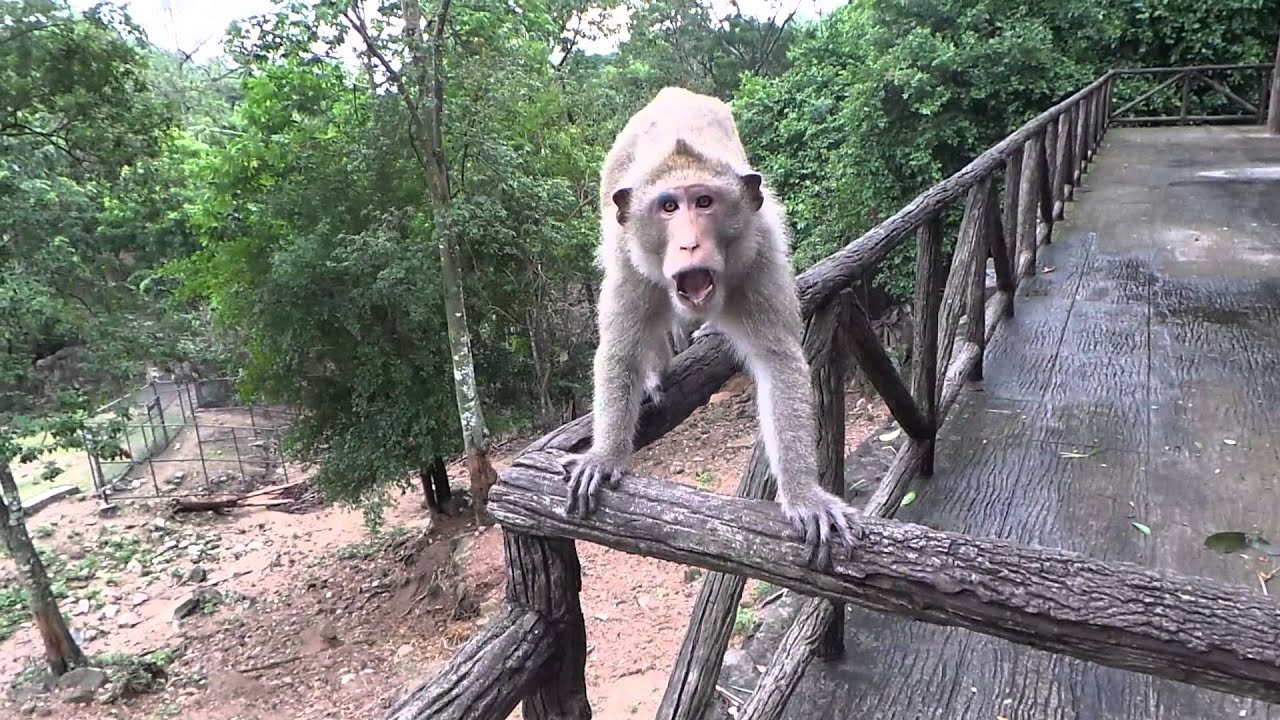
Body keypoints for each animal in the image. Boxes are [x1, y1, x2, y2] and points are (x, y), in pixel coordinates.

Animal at [560, 87, 858, 567]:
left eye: (704, 202)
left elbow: (778, 361)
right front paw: (604, 456)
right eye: (668, 207)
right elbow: (620, 350)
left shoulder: (761, 248)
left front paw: (804, 495)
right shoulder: (626, 255)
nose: (689, 243)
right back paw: (655, 371)